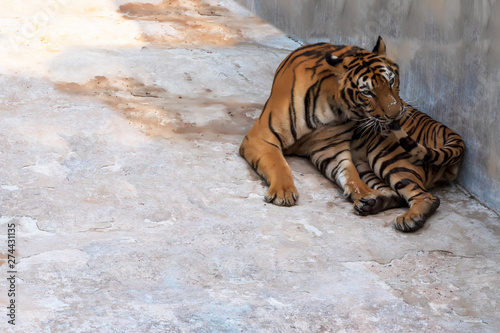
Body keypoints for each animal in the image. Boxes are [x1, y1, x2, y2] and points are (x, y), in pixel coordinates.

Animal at [239, 35, 464, 230]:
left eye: (391, 82)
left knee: (427, 197)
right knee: (401, 195)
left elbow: (351, 176)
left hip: (388, 156)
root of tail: (446, 129)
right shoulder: (262, 137)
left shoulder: (330, 149)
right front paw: (283, 192)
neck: (333, 107)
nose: (395, 115)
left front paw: (364, 193)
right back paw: (377, 206)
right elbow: (279, 163)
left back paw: (407, 217)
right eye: (367, 92)